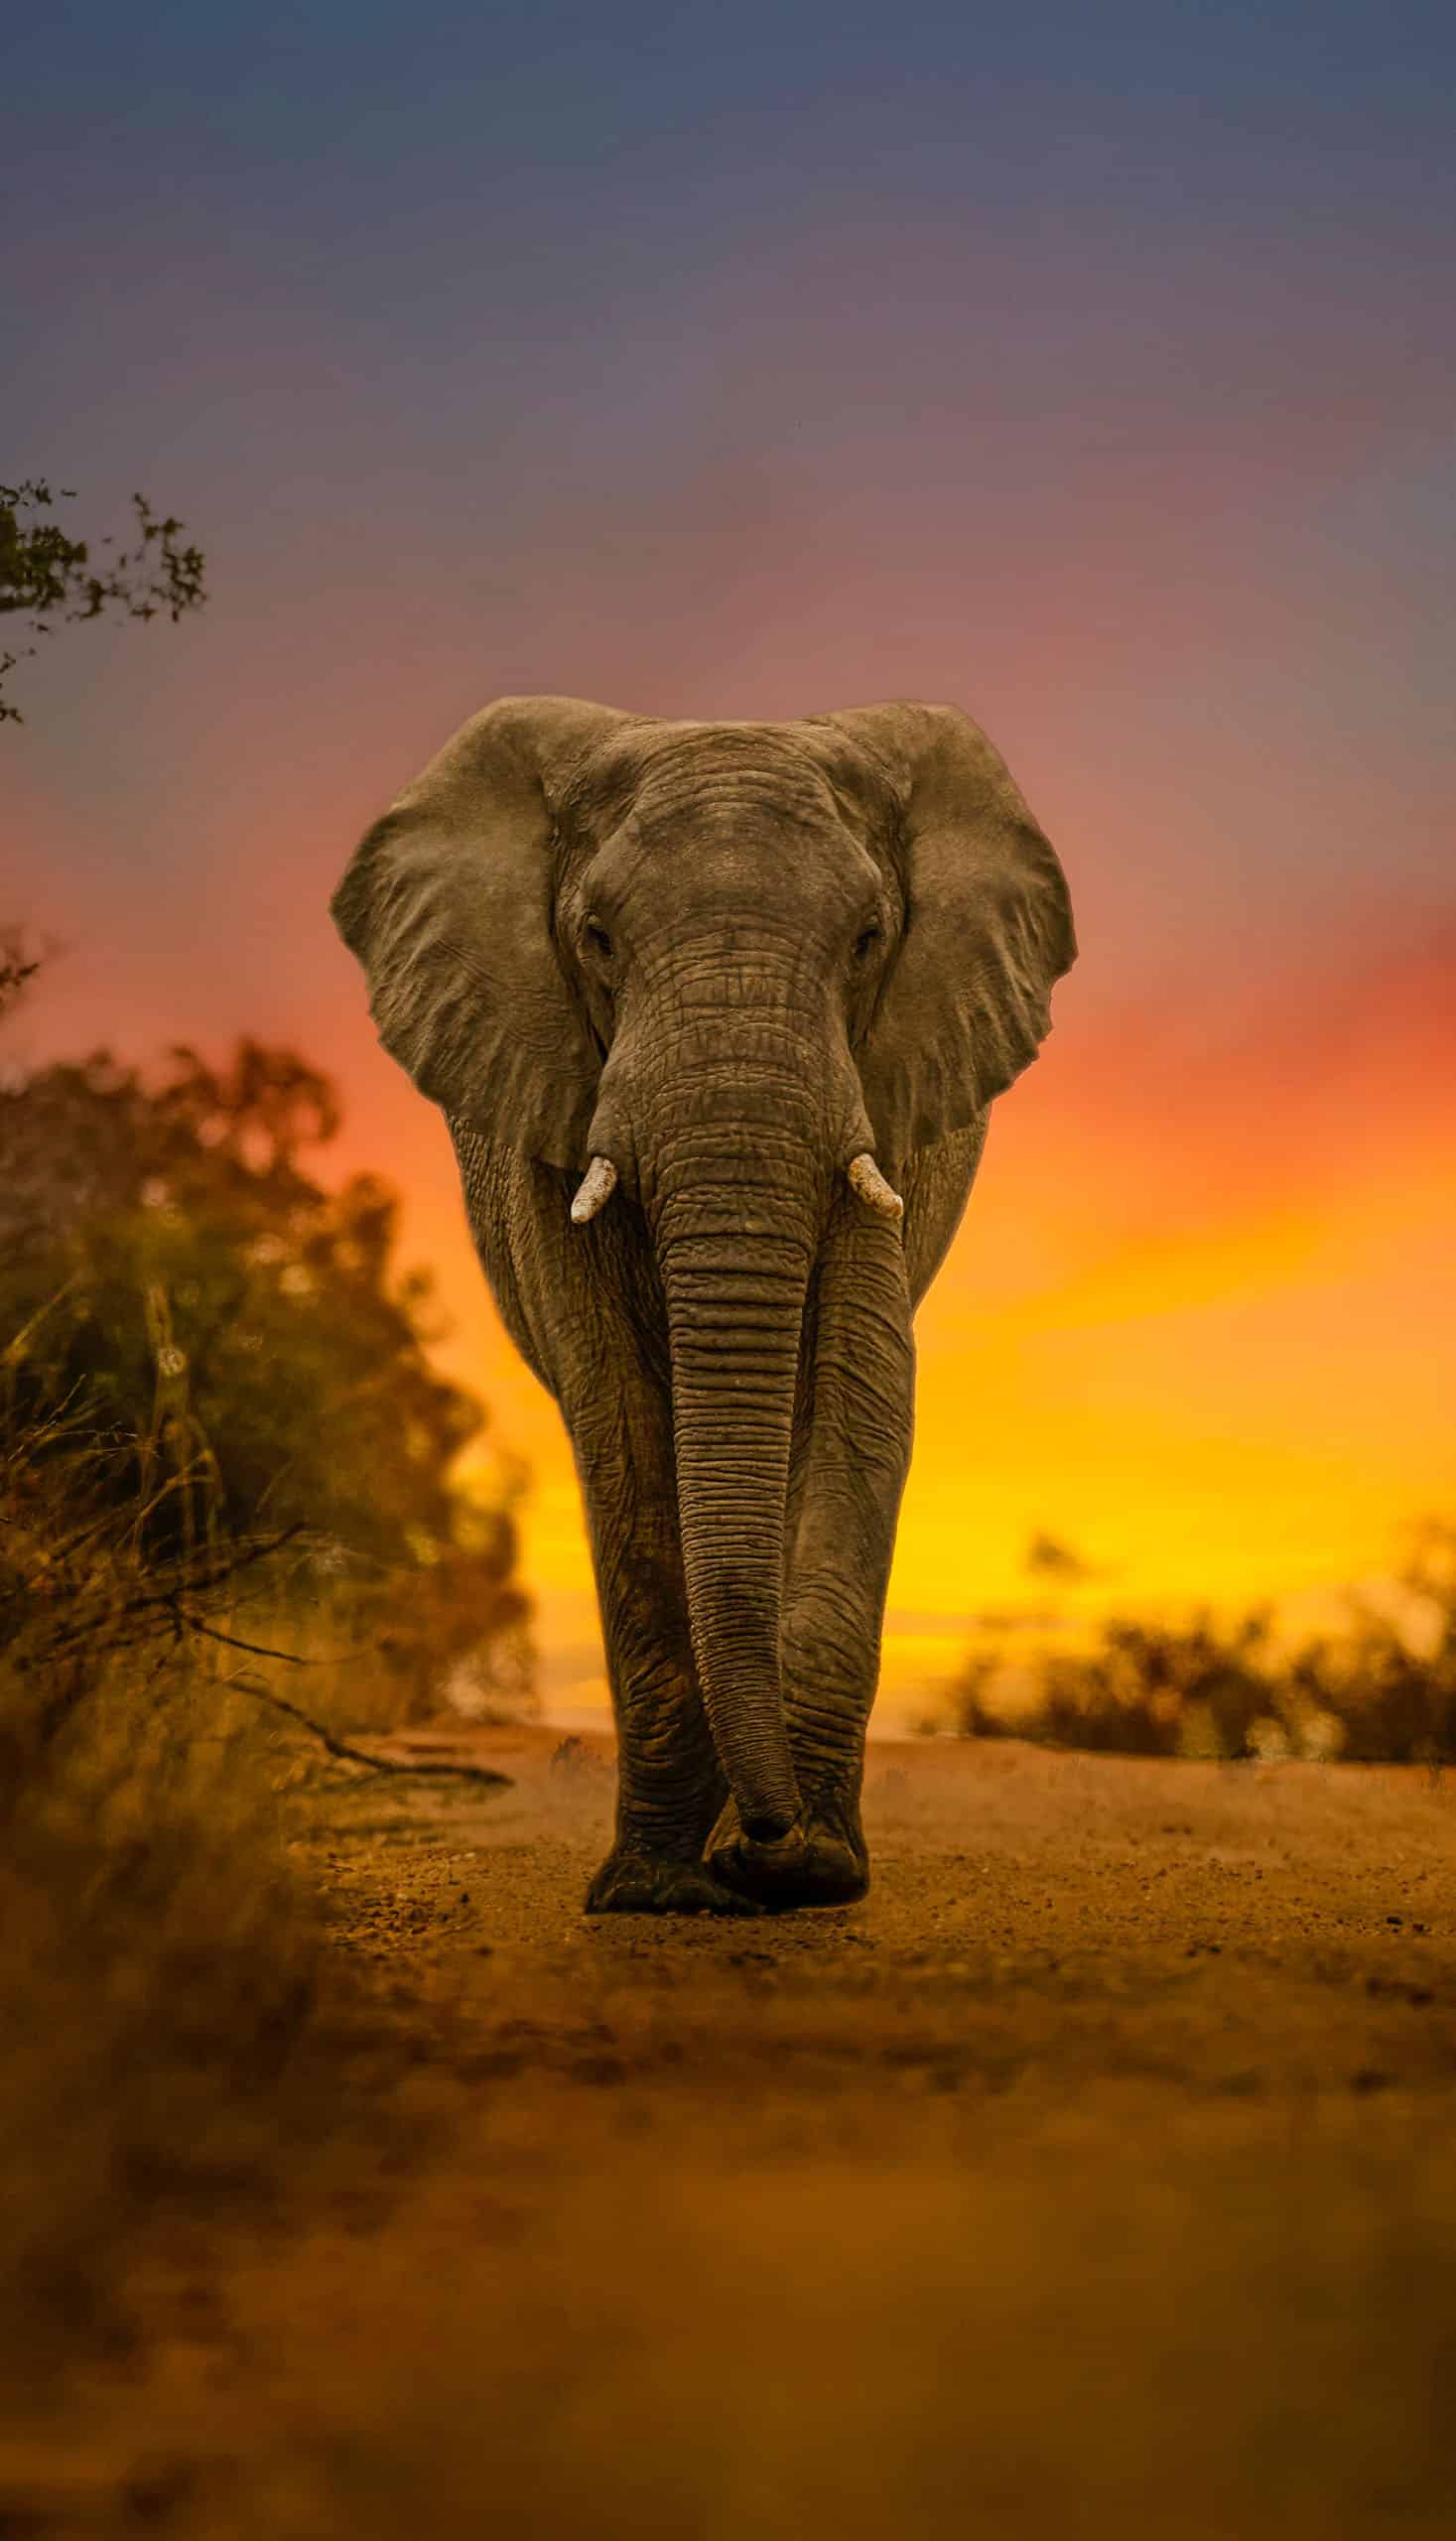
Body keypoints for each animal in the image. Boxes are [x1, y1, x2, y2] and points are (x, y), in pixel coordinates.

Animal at [334, 686, 1072, 1911]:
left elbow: (863, 1396)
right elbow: (624, 1429)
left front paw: (808, 1870)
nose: (766, 1842)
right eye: (596, 940)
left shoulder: (883, 1107)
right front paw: (657, 1891)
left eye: (868, 940)